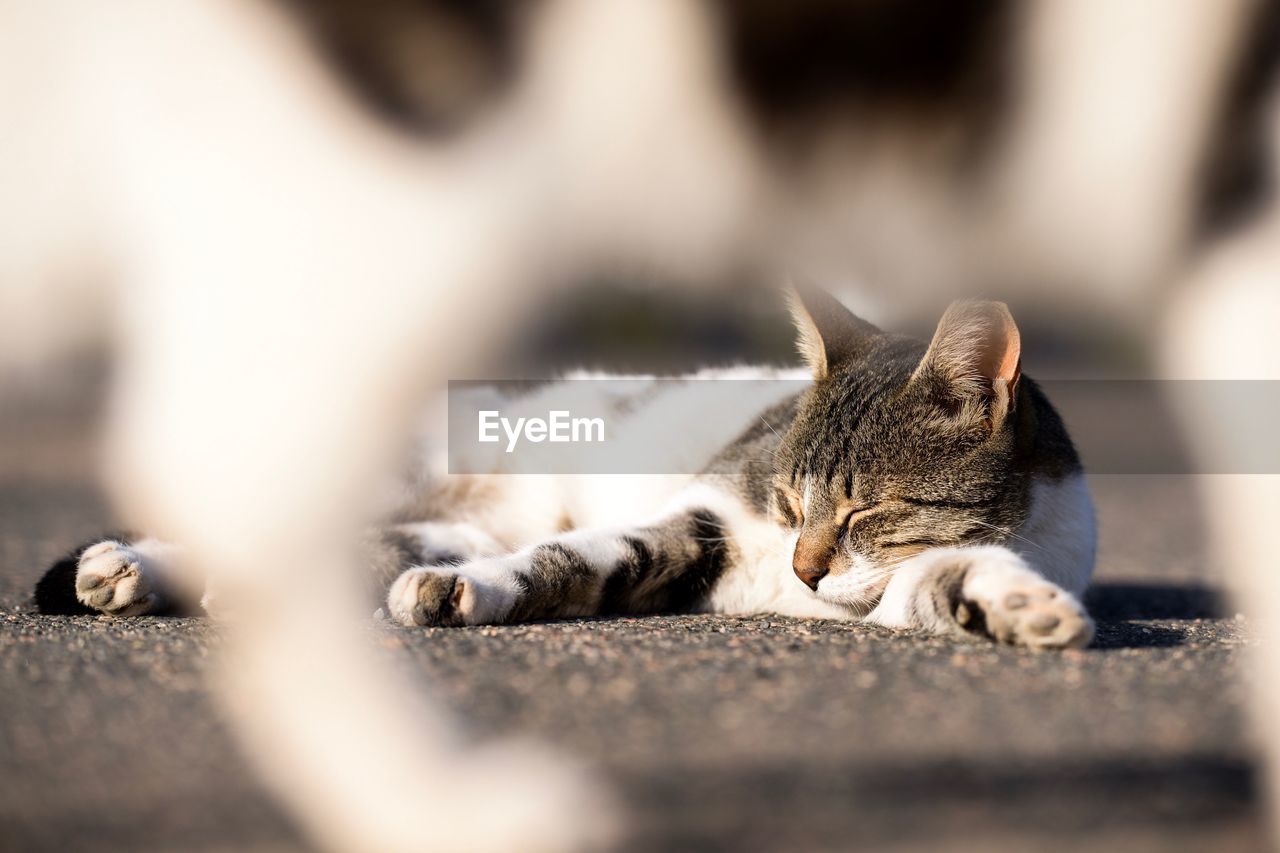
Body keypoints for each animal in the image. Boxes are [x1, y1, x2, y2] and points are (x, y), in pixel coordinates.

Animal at [42, 289, 1100, 648]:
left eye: (865, 512)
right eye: (789, 498)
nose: (803, 569)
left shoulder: (896, 588)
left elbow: (957, 581)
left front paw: (1021, 612)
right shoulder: (705, 512)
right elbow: (579, 555)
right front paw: (456, 596)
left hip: (444, 518)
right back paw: (124, 564)